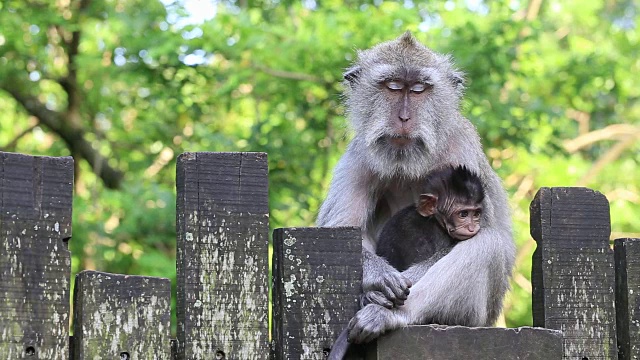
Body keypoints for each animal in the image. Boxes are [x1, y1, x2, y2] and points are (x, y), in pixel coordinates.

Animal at [318, 31, 516, 344]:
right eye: (394, 87)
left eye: (419, 90)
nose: (404, 118)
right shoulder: (359, 156)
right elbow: (339, 230)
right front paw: (377, 277)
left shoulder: (461, 150)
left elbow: (479, 233)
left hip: (478, 317)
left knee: (488, 244)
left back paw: (392, 315)